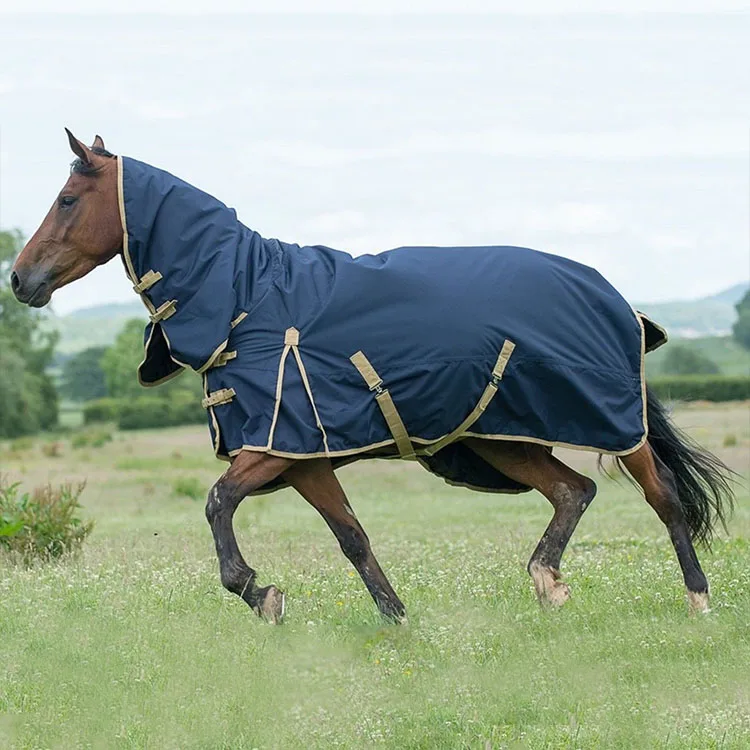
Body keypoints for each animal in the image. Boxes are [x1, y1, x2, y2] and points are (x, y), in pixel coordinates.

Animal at [11, 132, 736, 624]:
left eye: (68, 199)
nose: (20, 279)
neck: (247, 299)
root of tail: (614, 297)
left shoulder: (271, 447)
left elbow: (217, 503)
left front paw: (258, 591)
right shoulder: (301, 457)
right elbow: (352, 538)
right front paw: (397, 621)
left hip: (608, 421)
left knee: (663, 496)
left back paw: (698, 602)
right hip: (502, 438)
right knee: (572, 489)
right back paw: (548, 581)